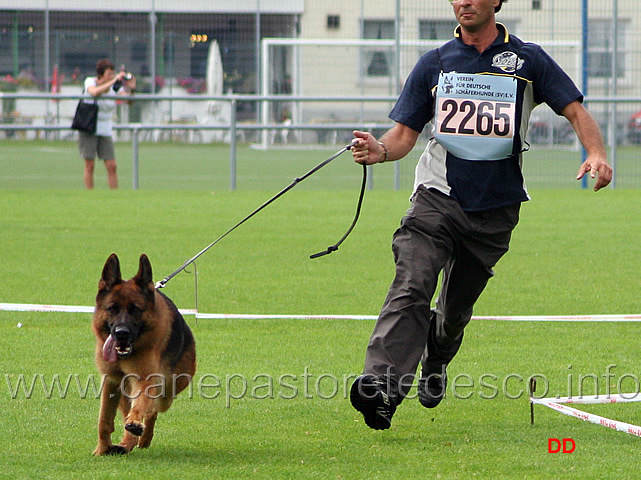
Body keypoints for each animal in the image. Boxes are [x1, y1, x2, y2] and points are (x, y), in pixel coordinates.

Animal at [91, 253, 194, 456]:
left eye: (136, 309)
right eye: (112, 308)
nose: (122, 333)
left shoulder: (145, 379)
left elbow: (141, 407)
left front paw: (136, 424)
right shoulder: (111, 381)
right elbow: (104, 420)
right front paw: (102, 449)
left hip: (167, 393)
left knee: (153, 410)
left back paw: (143, 437)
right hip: (125, 389)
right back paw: (126, 444)